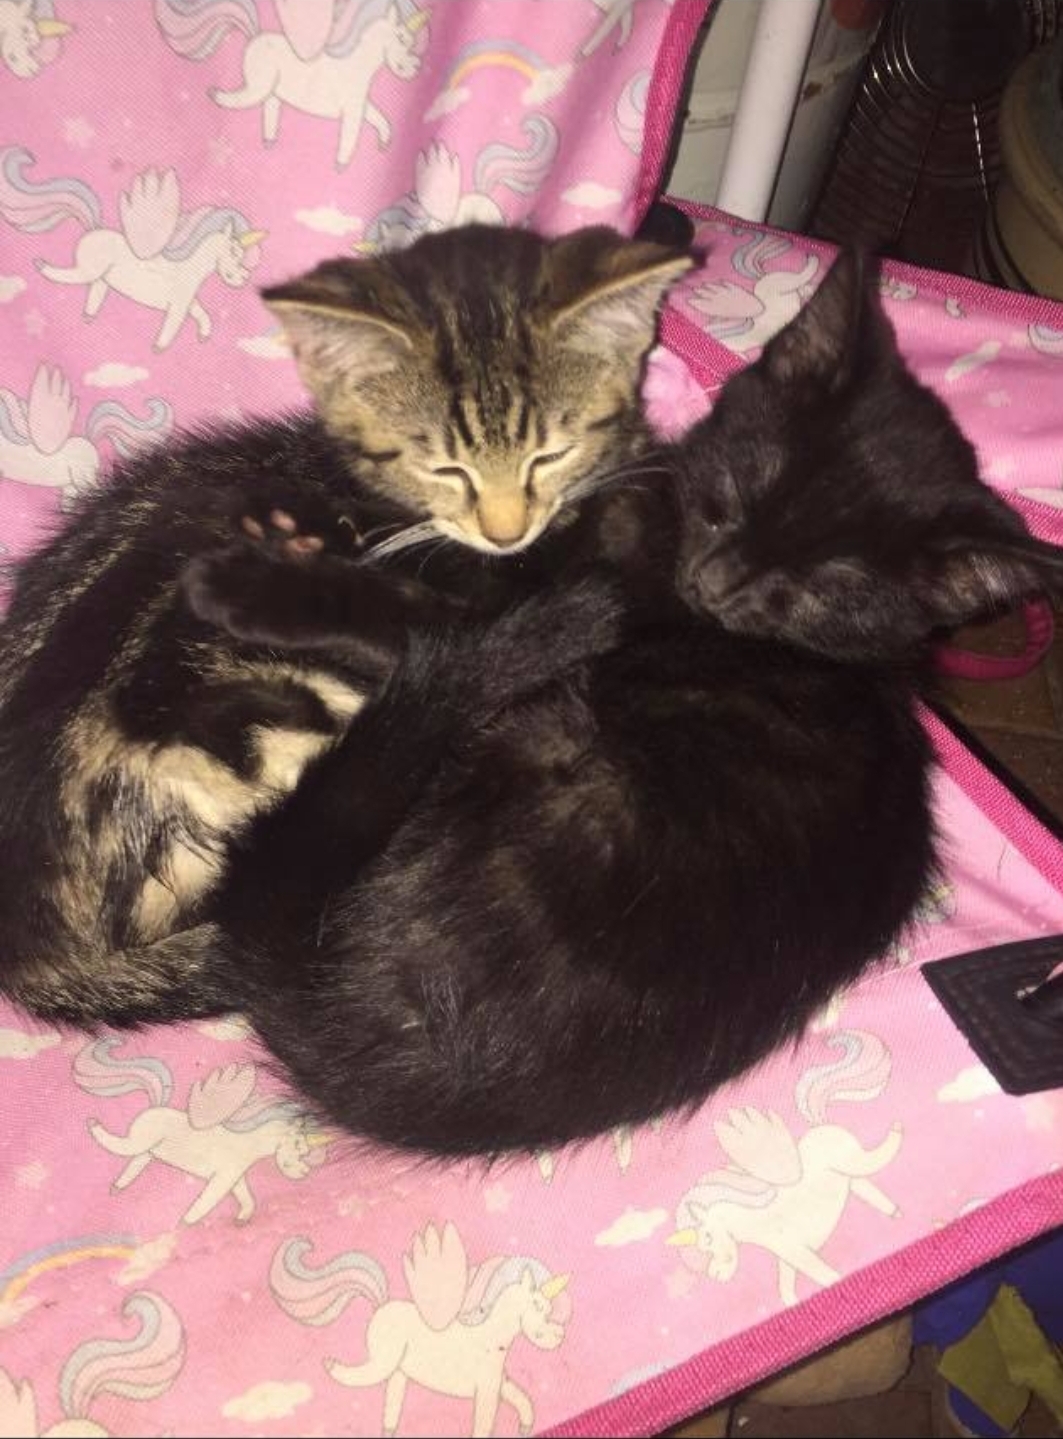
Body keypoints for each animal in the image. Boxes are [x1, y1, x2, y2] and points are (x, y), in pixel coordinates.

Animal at [172, 248, 1063, 1156]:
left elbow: (420, 601)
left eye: (825, 586)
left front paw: (252, 578)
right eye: (741, 490)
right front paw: (305, 516)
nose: (718, 580)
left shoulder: (536, 599)